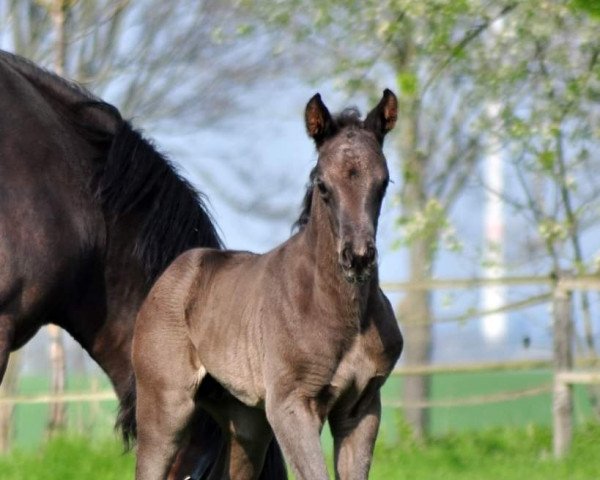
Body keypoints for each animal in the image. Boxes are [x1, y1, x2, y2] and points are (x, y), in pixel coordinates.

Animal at [132, 90, 404, 480]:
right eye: (323, 185)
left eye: (383, 182)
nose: (358, 257)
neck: (340, 313)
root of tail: (174, 272)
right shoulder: (291, 405)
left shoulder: (361, 408)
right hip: (166, 404)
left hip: (246, 422)